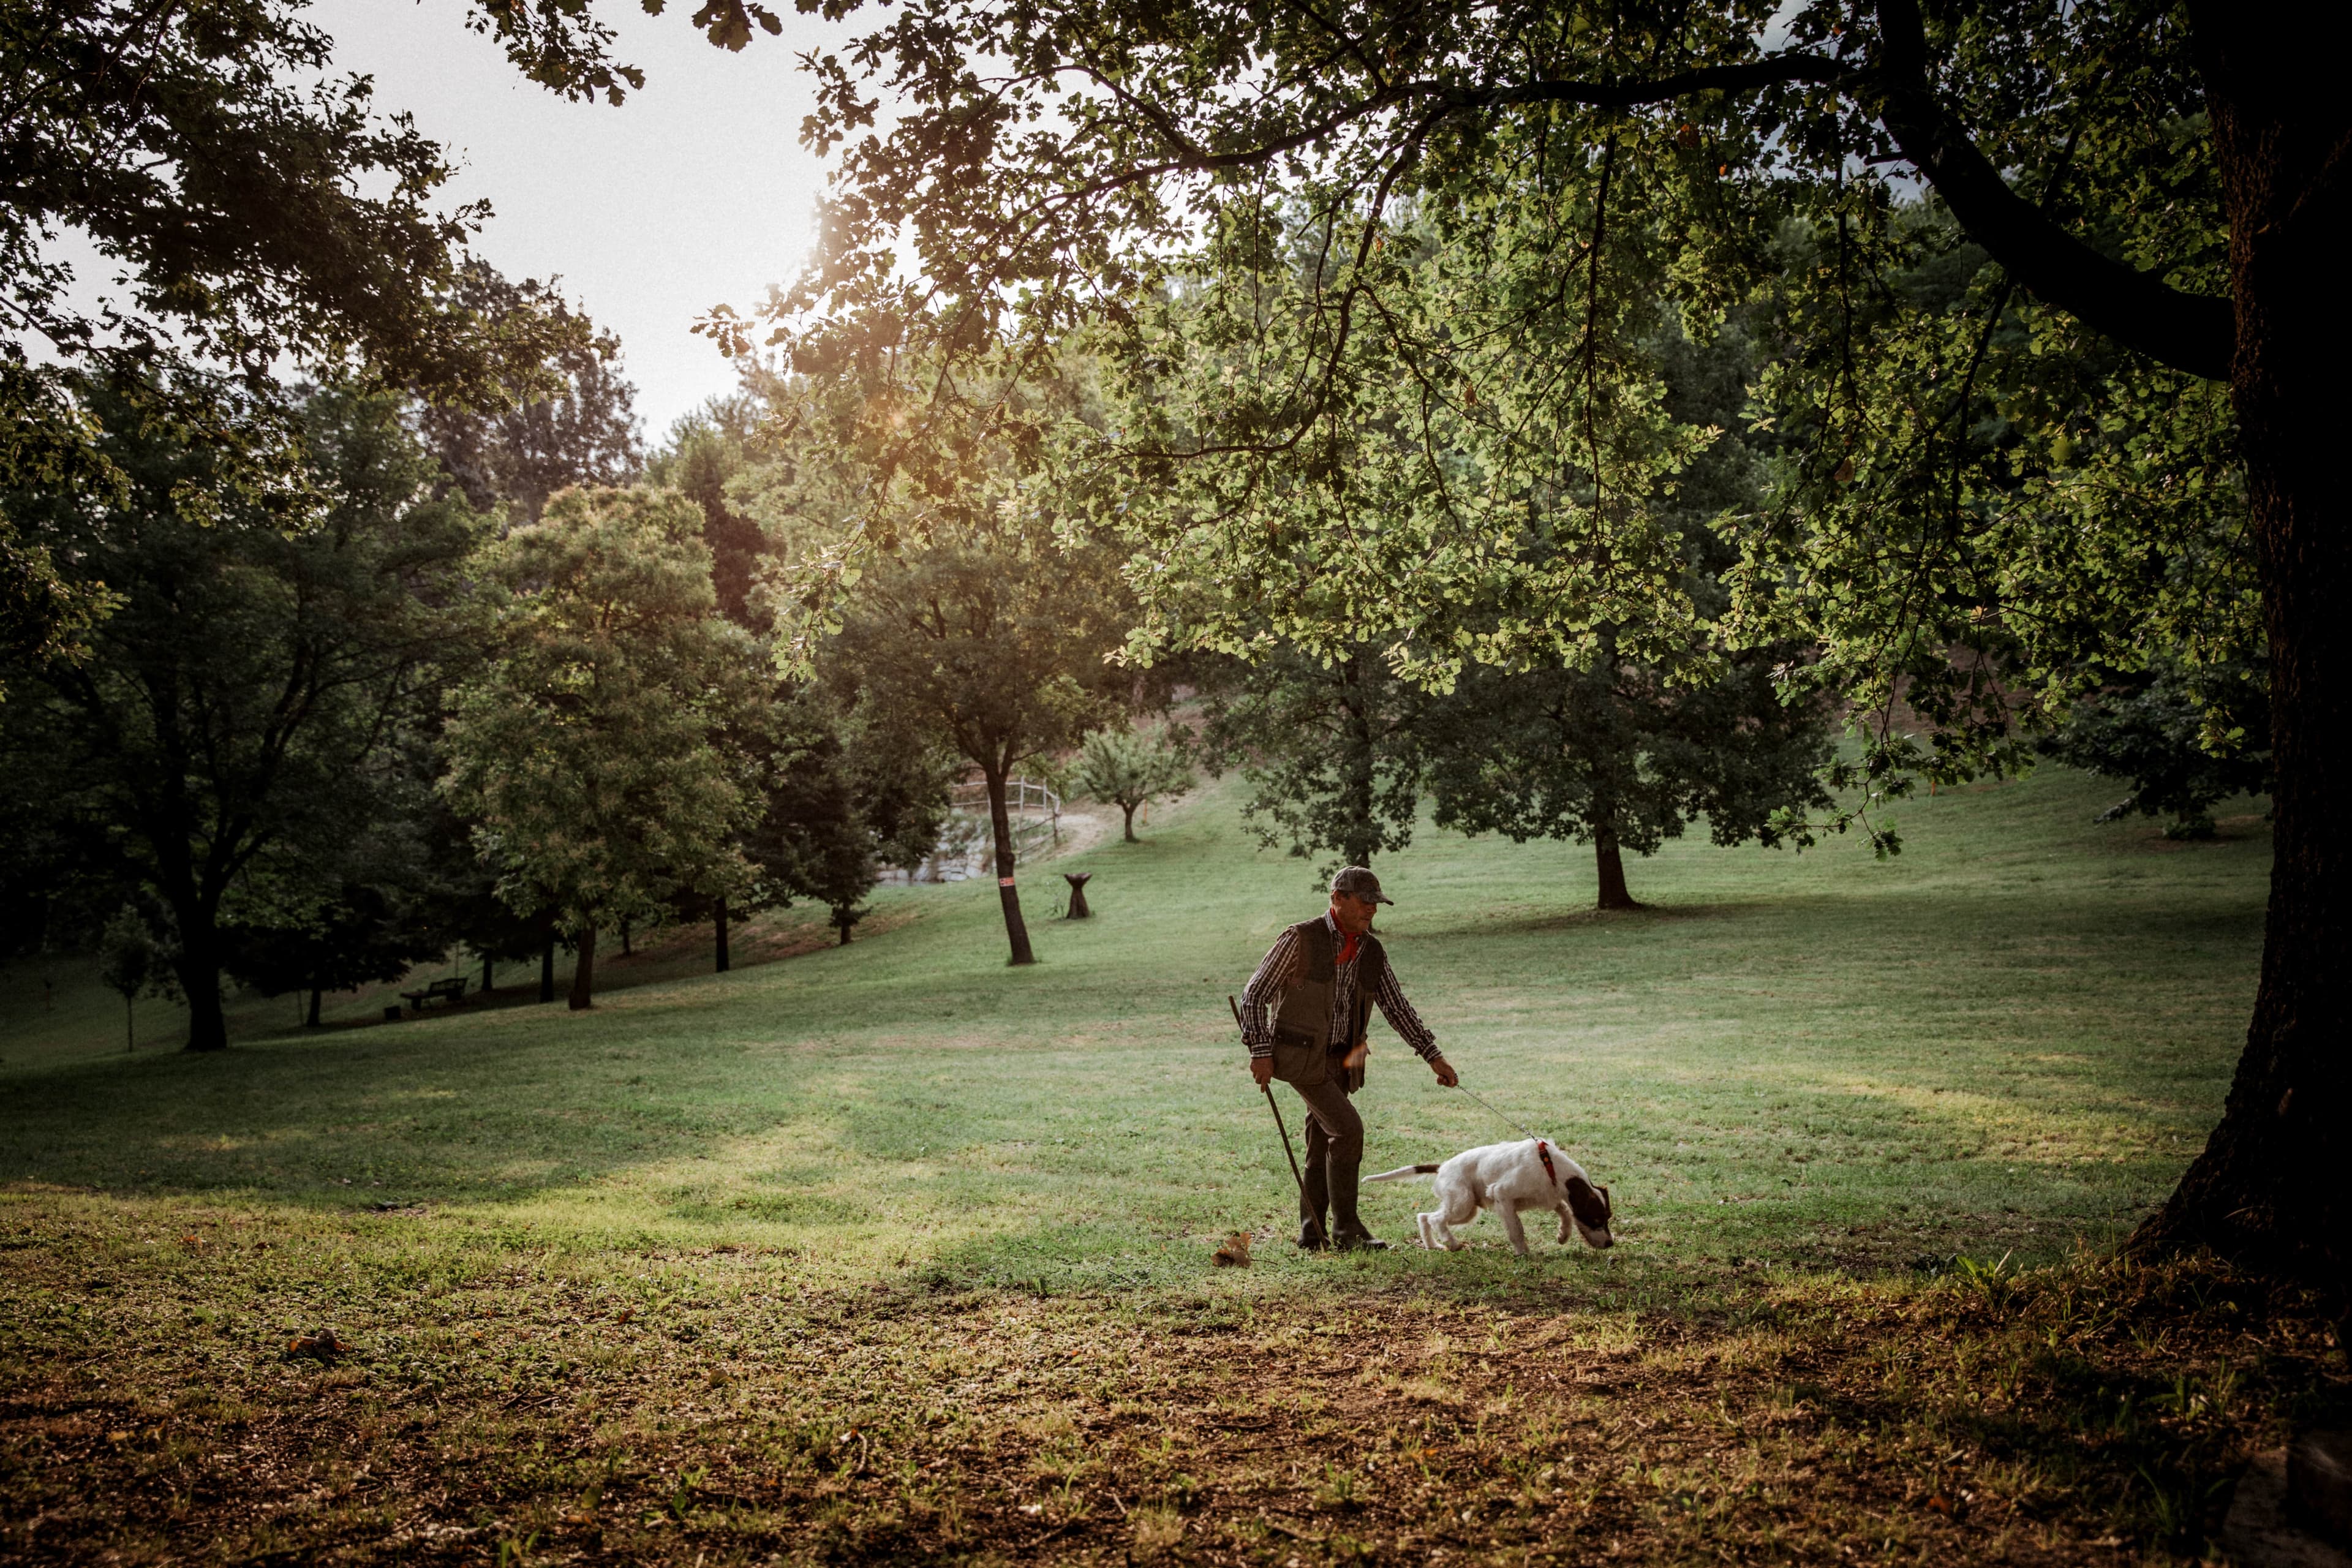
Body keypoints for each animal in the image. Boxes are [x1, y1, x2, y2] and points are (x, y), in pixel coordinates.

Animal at [1364, 1133, 1618, 1260]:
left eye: (1608, 1219)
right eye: (1596, 1220)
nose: (1610, 1243)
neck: (1549, 1166)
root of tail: (1443, 1167)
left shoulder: (1549, 1196)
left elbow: (1565, 1212)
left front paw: (1563, 1235)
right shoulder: (1502, 1195)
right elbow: (1517, 1229)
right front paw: (1523, 1253)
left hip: (1465, 1210)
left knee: (1424, 1216)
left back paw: (1433, 1245)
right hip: (1463, 1204)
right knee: (1436, 1219)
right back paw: (1452, 1244)